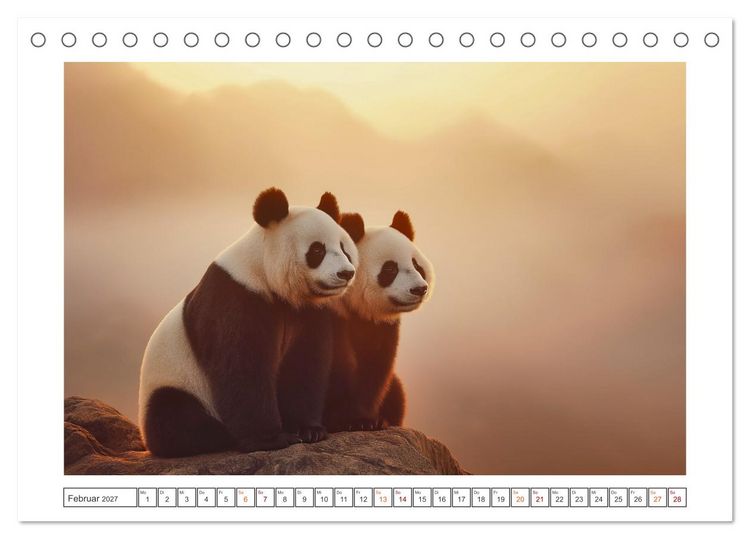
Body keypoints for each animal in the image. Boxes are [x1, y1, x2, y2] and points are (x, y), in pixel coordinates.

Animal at [138, 187, 359, 457]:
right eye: (317, 250)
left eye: (344, 248)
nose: (346, 273)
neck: (263, 274)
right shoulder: (235, 297)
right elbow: (242, 367)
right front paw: (270, 439)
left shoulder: (306, 312)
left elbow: (304, 363)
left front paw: (308, 430)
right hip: (176, 382)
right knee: (176, 417)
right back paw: (217, 435)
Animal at [325, 210, 435, 432]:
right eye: (390, 269)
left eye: (417, 265)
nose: (419, 289)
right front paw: (339, 421)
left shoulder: (382, 327)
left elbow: (375, 369)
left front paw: (364, 420)